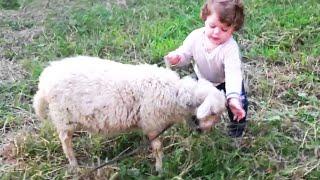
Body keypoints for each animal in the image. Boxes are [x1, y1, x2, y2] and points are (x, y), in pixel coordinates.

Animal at [32, 56, 225, 172]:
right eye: (213, 112)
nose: (203, 131)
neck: (176, 94)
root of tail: (44, 81)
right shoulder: (152, 123)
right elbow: (157, 147)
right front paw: (160, 168)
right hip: (63, 117)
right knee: (65, 141)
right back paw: (74, 163)